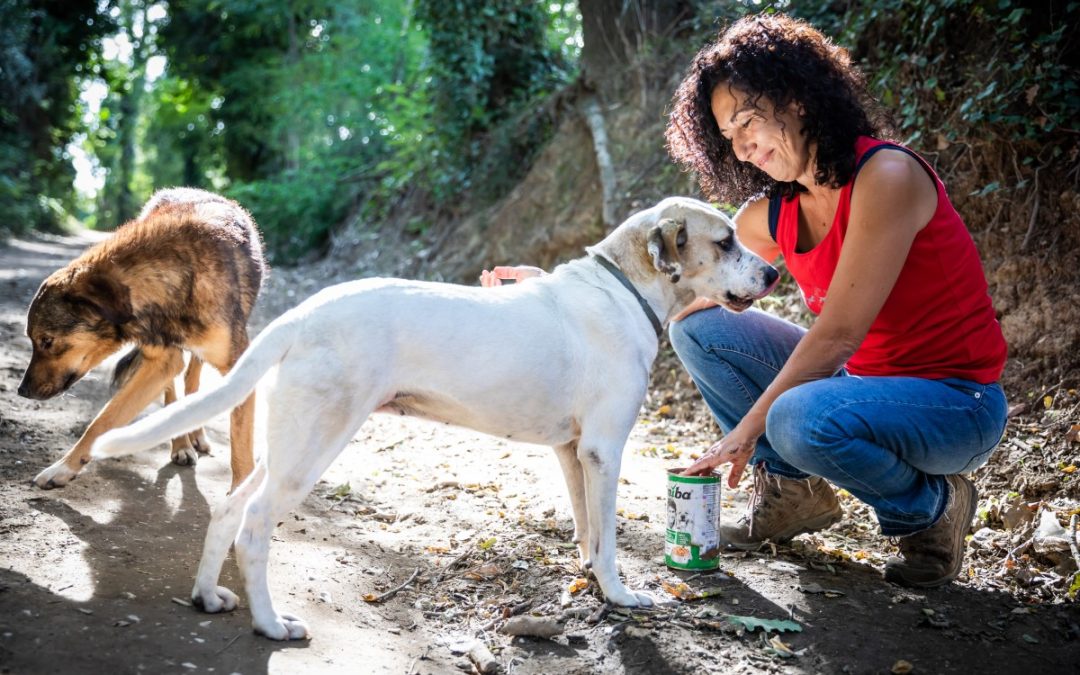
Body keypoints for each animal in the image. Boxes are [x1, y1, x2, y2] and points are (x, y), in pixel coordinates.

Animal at [18, 186, 265, 486]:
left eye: (46, 341)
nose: (22, 391)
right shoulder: (159, 363)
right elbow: (100, 423)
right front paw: (62, 468)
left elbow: (240, 443)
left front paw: (242, 492)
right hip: (167, 363)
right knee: (174, 392)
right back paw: (181, 445)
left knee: (192, 380)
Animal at [90, 194, 777, 635]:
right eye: (726, 242)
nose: (773, 272)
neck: (623, 289)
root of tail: (305, 313)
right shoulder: (605, 451)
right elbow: (607, 541)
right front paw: (620, 595)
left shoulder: (573, 452)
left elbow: (588, 530)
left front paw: (591, 581)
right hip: (313, 447)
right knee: (255, 524)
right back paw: (271, 624)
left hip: (290, 444)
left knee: (230, 507)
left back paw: (207, 596)